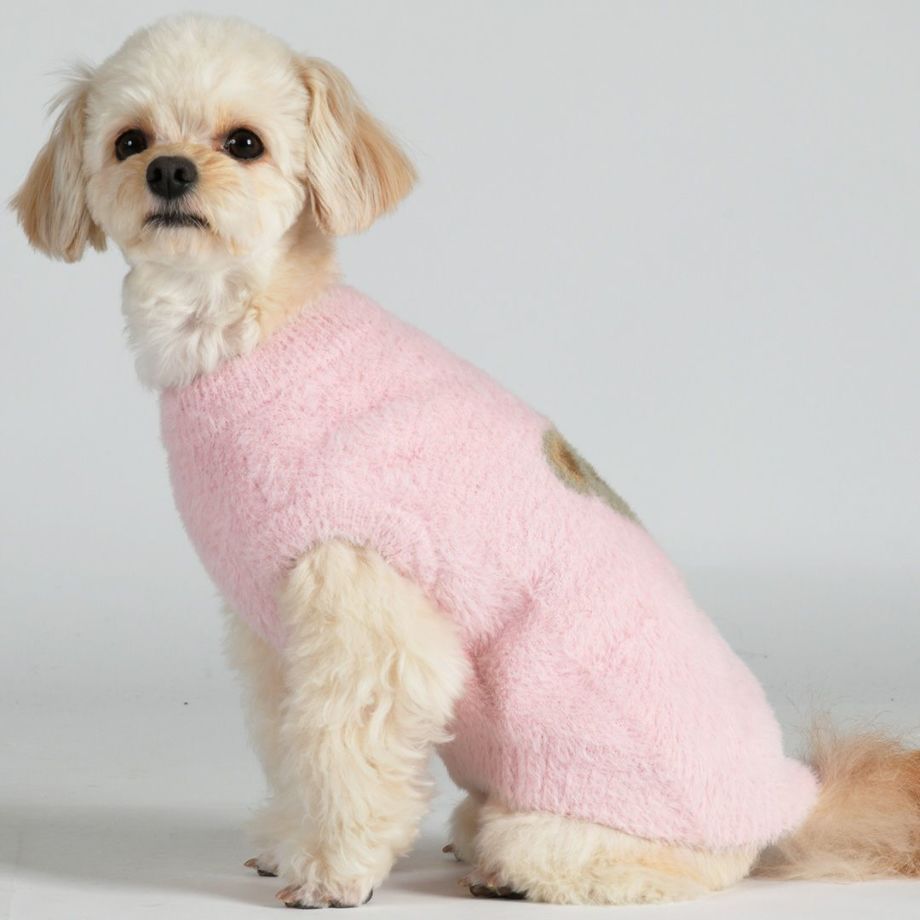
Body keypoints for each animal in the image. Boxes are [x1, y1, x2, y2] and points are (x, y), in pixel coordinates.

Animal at [13, 13, 919, 908]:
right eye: (129, 141)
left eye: (244, 143)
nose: (168, 170)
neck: (246, 329)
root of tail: (791, 798)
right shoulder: (272, 630)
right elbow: (291, 740)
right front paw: (287, 842)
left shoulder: (367, 612)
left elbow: (345, 748)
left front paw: (334, 870)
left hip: (584, 772)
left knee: (673, 862)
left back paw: (520, 861)